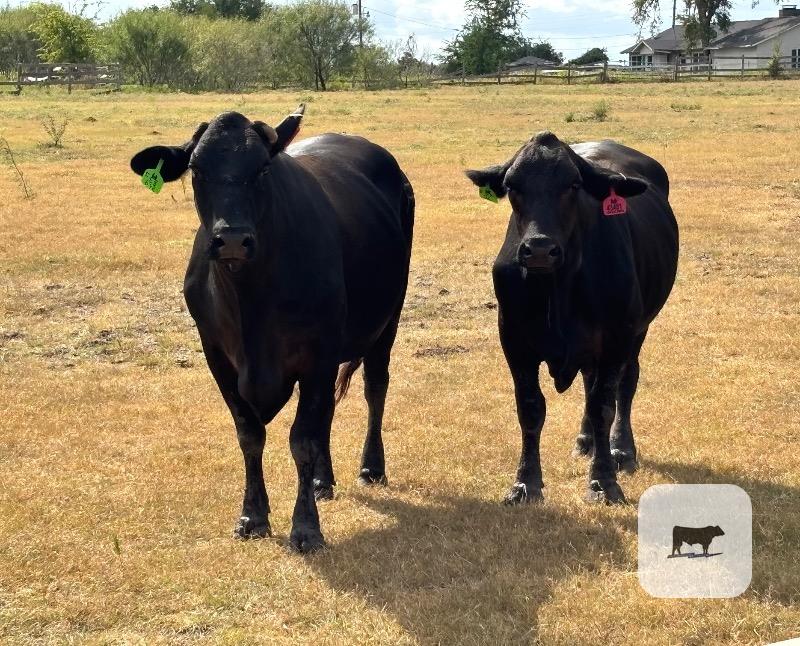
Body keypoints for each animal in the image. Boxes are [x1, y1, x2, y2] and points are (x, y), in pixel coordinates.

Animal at [129, 106, 414, 552]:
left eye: (262, 168)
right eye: (197, 169)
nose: (231, 239)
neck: (251, 303)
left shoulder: (318, 351)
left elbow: (302, 439)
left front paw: (306, 528)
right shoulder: (216, 353)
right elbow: (250, 434)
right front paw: (253, 516)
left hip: (388, 319)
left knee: (375, 388)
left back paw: (371, 467)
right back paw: (321, 481)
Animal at [466, 132, 678, 505]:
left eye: (574, 185)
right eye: (512, 185)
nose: (538, 249)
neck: (558, 288)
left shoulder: (617, 338)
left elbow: (603, 406)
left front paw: (603, 482)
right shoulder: (514, 341)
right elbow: (530, 408)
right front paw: (525, 483)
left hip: (639, 330)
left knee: (626, 383)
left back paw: (621, 450)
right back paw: (586, 441)